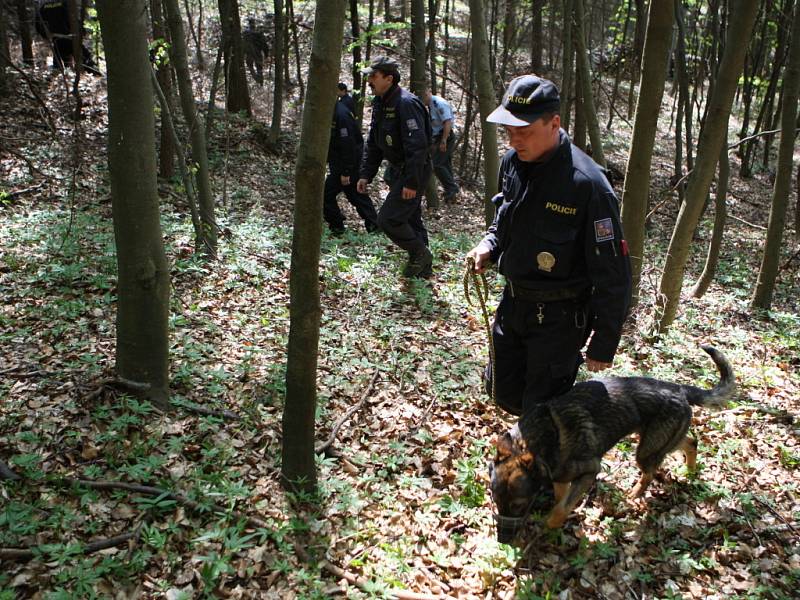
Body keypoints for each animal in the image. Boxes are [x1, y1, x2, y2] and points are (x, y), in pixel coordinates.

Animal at [490, 344, 736, 540]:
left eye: (519, 505)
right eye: (496, 501)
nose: (503, 540)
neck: (546, 437)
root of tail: (678, 388)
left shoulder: (590, 471)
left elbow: (560, 509)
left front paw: (551, 525)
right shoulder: (561, 477)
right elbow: (562, 499)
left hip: (646, 451)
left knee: (650, 473)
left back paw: (635, 494)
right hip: (662, 441)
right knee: (692, 442)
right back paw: (690, 470)